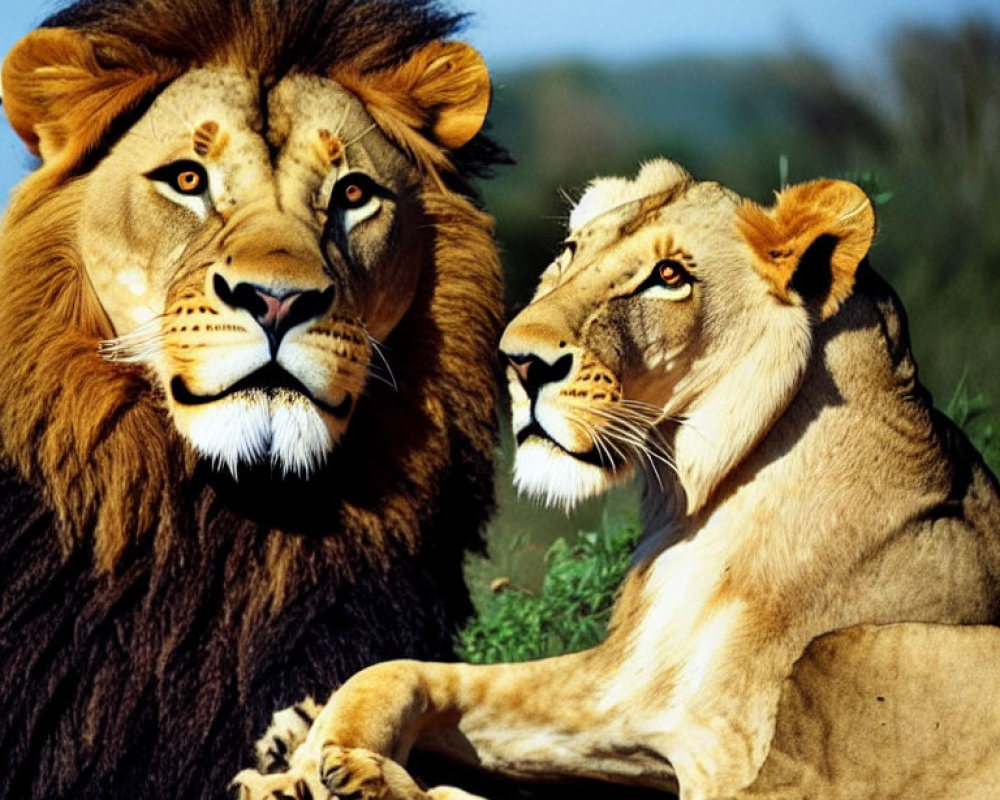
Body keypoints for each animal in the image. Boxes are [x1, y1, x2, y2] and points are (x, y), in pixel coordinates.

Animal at [236, 158, 1000, 800]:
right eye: (574, 252)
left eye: (669, 276)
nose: (519, 363)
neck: (698, 493)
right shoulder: (623, 695)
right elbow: (396, 670)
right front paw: (301, 756)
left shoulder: (739, 763)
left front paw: (325, 766)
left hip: (849, 655)